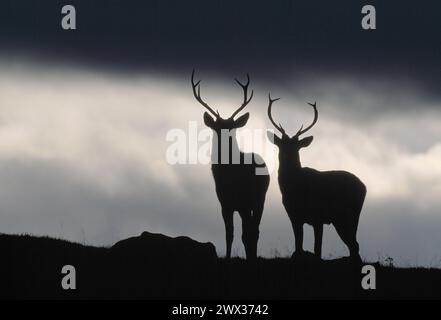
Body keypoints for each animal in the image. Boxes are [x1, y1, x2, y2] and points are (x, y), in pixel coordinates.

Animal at [192, 70, 270, 260]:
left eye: (232, 128)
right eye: (217, 128)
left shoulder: (244, 202)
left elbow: (243, 234)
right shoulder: (224, 204)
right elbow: (229, 234)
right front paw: (227, 257)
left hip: (259, 199)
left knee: (254, 230)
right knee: (250, 230)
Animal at [266, 95, 366, 260]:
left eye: (296, 146)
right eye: (282, 144)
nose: (287, 154)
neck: (294, 188)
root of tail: (364, 187)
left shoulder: (318, 217)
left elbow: (317, 249)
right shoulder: (294, 217)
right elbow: (298, 245)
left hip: (349, 215)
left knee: (354, 245)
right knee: (354, 245)